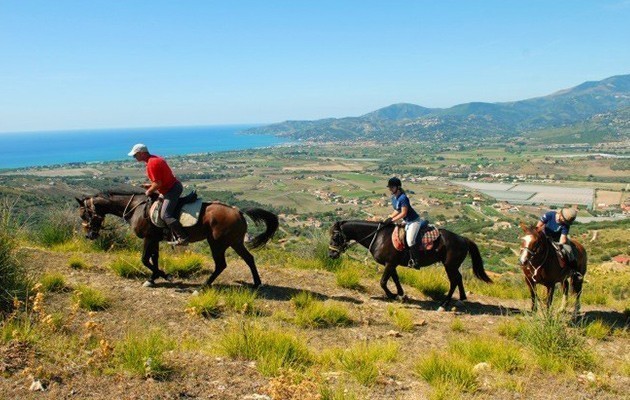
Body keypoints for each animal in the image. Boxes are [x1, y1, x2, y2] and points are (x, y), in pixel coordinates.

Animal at [77, 191, 278, 288]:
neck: (135, 208)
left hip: (217, 243)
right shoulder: (155, 239)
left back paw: (204, 285)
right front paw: (155, 278)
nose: (89, 235)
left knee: (221, 264)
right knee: (249, 258)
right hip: (234, 242)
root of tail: (238, 211)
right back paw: (257, 283)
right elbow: (154, 259)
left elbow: (145, 259)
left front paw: (165, 276)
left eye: (84, 215)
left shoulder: (149, 238)